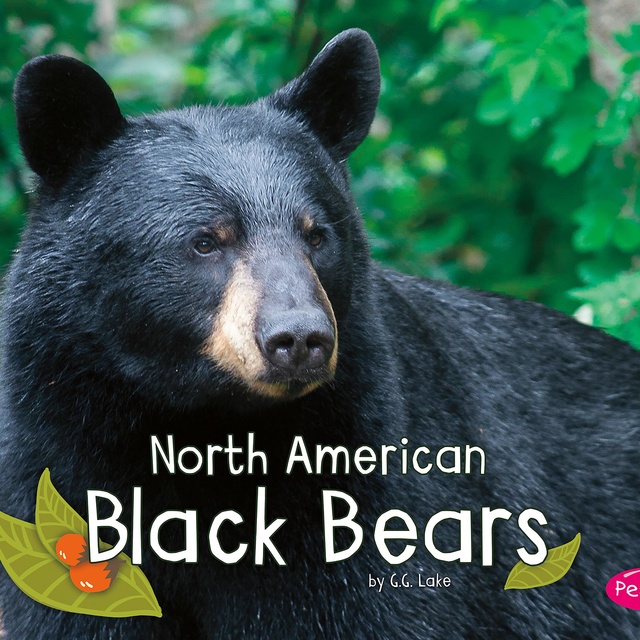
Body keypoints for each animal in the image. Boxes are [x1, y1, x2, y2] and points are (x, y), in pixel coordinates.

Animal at [0, 27, 639, 639]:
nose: (299, 339)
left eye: (317, 234)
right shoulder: (58, 468)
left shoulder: (368, 489)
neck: (205, 431)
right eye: (205, 241)